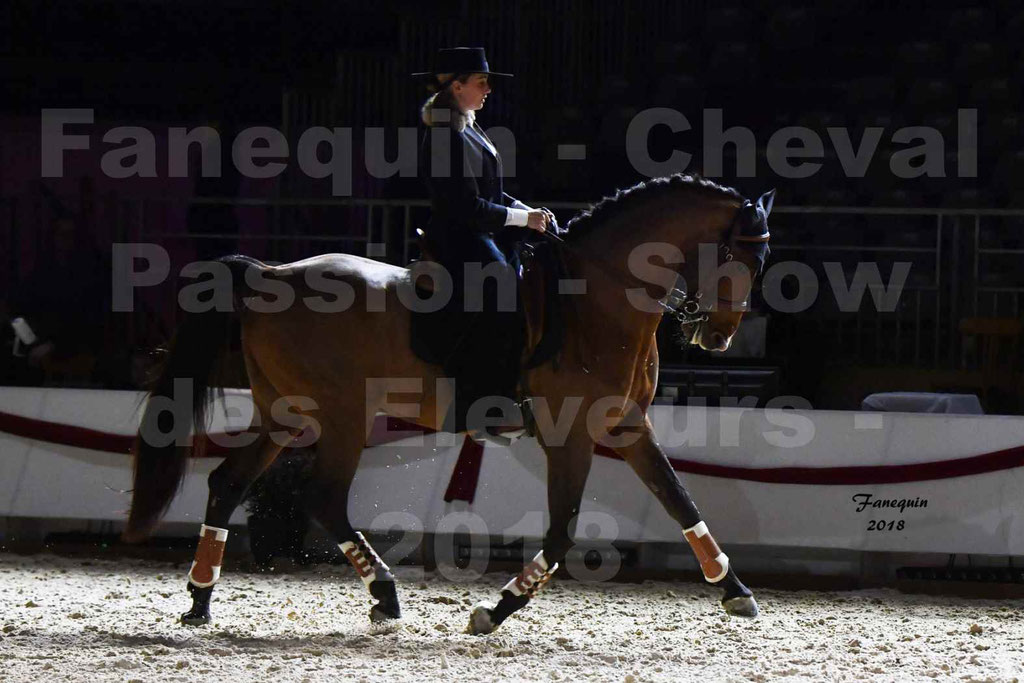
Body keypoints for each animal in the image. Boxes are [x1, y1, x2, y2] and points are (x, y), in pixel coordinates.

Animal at [121, 175, 774, 634]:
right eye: (739, 257)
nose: (718, 337)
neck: (600, 298)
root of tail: (269, 273)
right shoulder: (572, 434)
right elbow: (561, 534)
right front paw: (494, 611)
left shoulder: (625, 425)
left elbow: (679, 498)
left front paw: (736, 591)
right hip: (342, 415)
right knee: (322, 498)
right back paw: (384, 595)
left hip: (288, 414)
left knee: (229, 482)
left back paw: (201, 598)